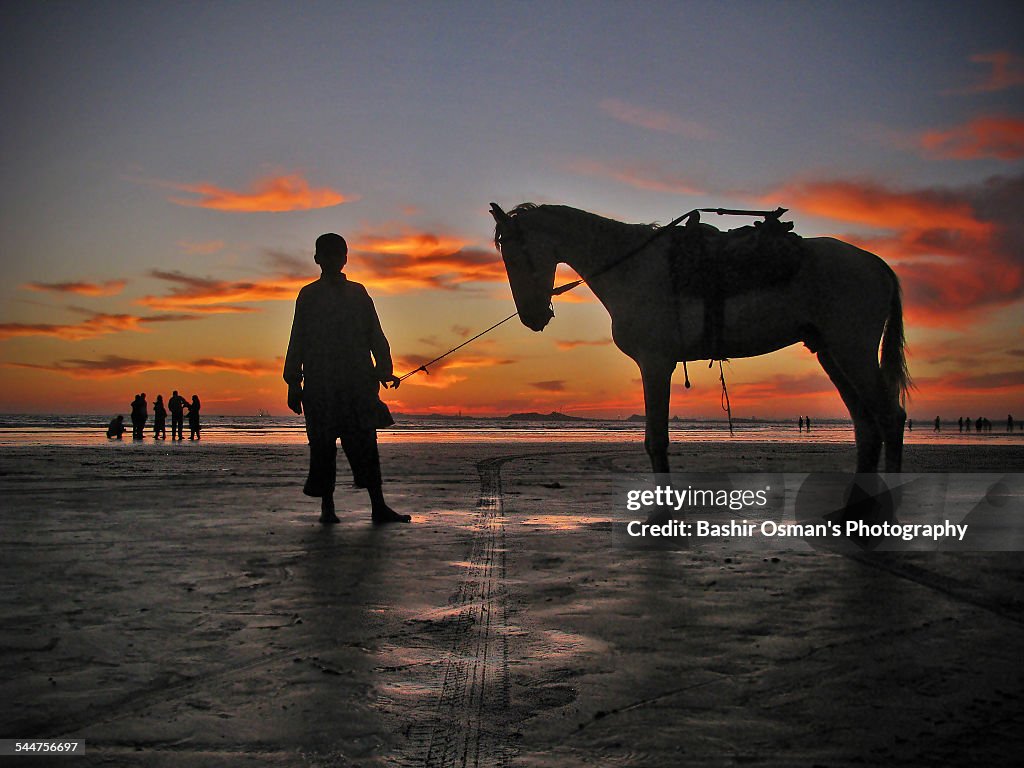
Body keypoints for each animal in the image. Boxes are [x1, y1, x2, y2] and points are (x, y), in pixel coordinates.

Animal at [489, 202, 913, 475]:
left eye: (514, 253)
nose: (532, 317)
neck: (632, 266)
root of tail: (875, 262)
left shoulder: (656, 363)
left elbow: (656, 441)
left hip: (853, 349)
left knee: (889, 419)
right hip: (831, 353)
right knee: (866, 427)